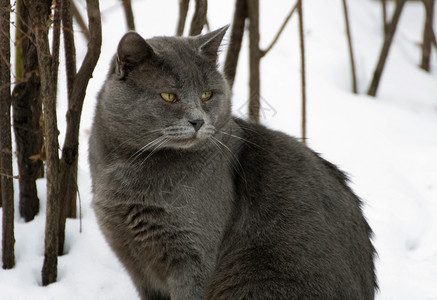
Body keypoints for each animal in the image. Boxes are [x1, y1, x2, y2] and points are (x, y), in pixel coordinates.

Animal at [88, 27, 374, 298]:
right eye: (169, 96)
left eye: (207, 94)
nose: (197, 121)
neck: (128, 168)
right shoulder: (134, 261)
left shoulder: (194, 258)